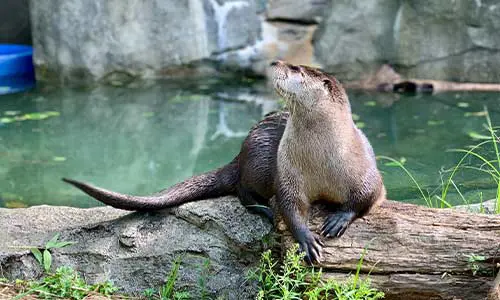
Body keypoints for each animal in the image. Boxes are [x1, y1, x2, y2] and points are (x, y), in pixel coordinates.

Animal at [61, 60, 382, 262]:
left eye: (296, 69)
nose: (275, 62)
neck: (322, 159)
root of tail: (238, 156)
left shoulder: (367, 168)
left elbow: (369, 195)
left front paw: (339, 218)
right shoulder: (288, 171)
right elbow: (289, 205)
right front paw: (306, 238)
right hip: (257, 160)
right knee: (243, 190)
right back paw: (263, 209)